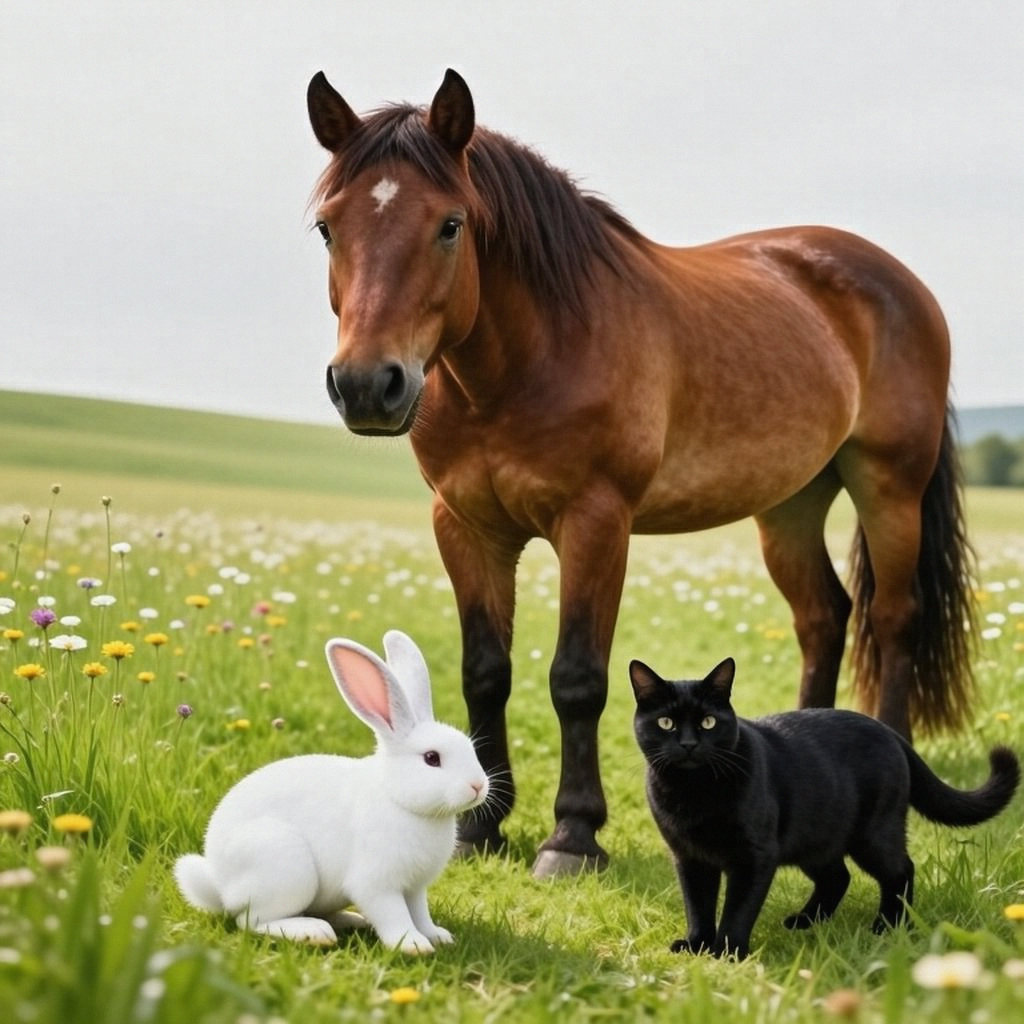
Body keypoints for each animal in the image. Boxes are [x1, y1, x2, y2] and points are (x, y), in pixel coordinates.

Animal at [173, 629, 489, 954]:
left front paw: (437, 936)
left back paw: (350, 919)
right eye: (431, 758)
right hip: (284, 865)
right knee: (252, 920)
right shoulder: (377, 884)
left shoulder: (414, 887)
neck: (398, 799)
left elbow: (420, 912)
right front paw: (413, 945)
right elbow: (394, 915)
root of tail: (218, 885)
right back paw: (313, 933)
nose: (478, 786)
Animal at [305, 68, 976, 878]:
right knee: (823, 616)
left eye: (450, 225)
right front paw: (481, 827)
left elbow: (578, 679)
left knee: (896, 617)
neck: (529, 358)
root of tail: (903, 284)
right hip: (790, 504)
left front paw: (572, 835)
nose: (367, 385)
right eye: (327, 227)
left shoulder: (597, 521)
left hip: (890, 487)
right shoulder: (466, 525)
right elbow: (484, 670)